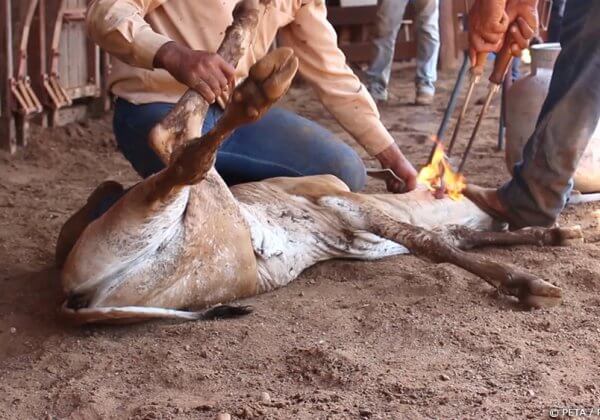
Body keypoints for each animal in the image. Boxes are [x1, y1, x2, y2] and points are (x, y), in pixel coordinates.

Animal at [54, 0, 580, 324]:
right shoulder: (338, 200)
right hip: (200, 193)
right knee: (172, 137)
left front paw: (554, 236)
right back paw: (258, 76)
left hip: (209, 258)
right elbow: (434, 243)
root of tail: (74, 299)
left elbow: (460, 239)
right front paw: (530, 283)